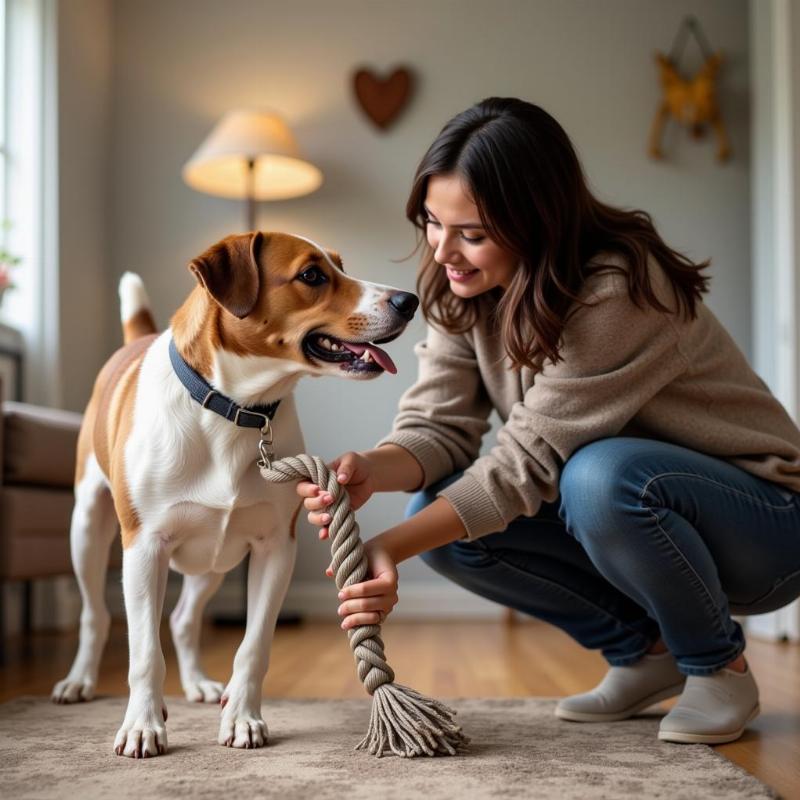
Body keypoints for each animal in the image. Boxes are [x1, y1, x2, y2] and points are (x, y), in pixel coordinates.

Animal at [51, 230, 418, 756]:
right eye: (312, 275)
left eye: (340, 266)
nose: (408, 301)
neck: (234, 411)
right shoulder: (143, 549)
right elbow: (144, 652)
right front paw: (142, 724)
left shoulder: (274, 549)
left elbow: (253, 647)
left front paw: (242, 717)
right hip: (87, 528)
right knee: (95, 615)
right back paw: (79, 680)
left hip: (215, 559)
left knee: (184, 618)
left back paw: (200, 684)